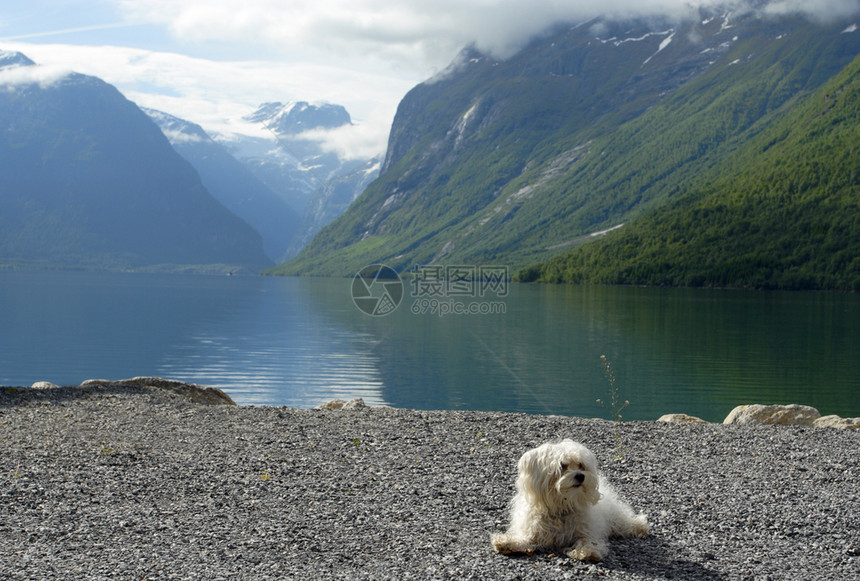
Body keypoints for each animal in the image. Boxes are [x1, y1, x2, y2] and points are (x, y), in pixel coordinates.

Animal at [490, 442, 644, 560]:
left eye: (581, 465)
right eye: (562, 466)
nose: (581, 476)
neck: (562, 507)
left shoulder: (587, 530)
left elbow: (588, 540)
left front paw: (587, 550)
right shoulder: (534, 531)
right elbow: (525, 539)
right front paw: (507, 542)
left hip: (615, 516)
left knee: (623, 522)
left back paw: (640, 525)